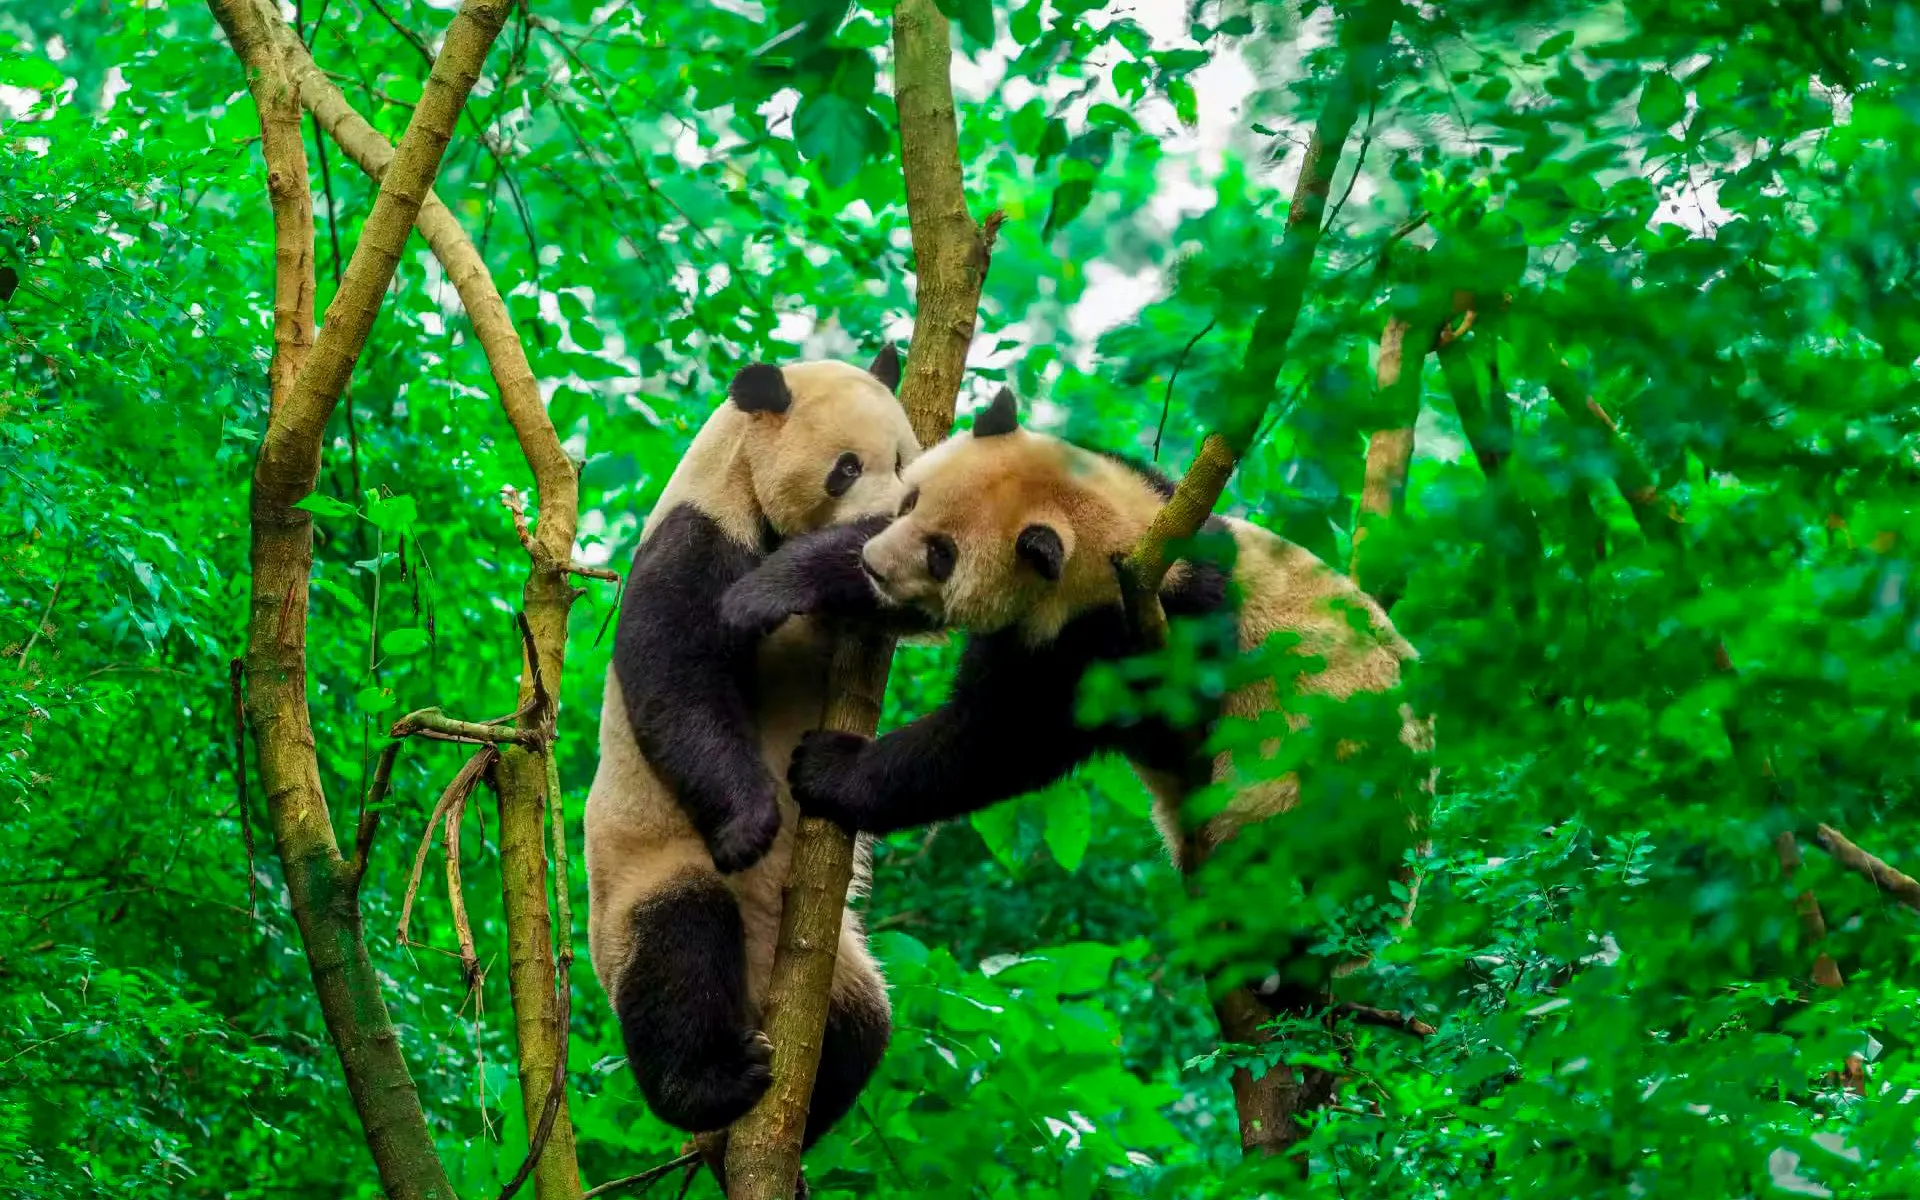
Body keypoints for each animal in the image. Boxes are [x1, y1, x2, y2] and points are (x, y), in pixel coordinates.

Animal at [583, 350, 918, 1172]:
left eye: (905, 461)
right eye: (846, 467)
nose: (893, 515)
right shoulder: (697, 535)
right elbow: (678, 675)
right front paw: (751, 825)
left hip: (840, 969)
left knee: (864, 1028)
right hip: (645, 878)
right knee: (681, 947)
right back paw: (714, 1089)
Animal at [719, 385, 1430, 1005]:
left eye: (943, 554)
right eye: (910, 500)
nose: (875, 563)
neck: (1125, 539)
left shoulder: (1124, 642)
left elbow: (1000, 738)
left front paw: (828, 767)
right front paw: (777, 588)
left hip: (1312, 792)